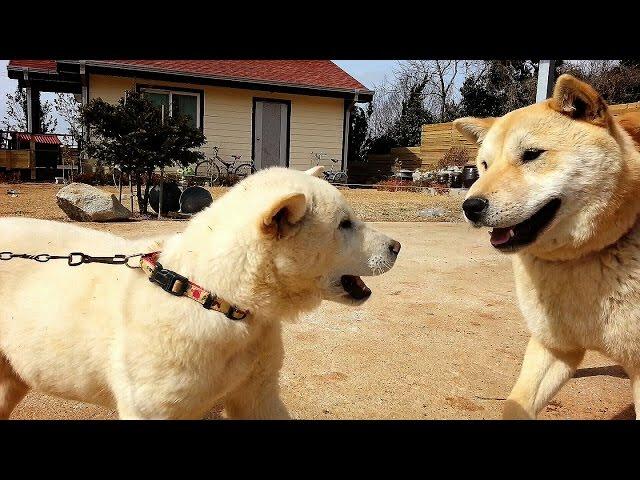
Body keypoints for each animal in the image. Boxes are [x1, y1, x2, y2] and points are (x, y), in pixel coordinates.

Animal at [456, 73, 640, 418]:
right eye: (484, 165)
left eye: (531, 154)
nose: (470, 206)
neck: (581, 257)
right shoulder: (552, 347)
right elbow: (517, 404)